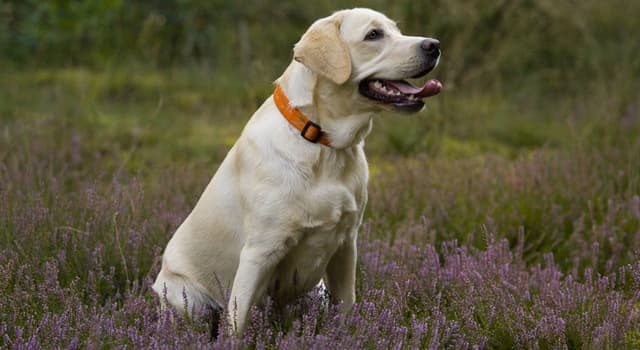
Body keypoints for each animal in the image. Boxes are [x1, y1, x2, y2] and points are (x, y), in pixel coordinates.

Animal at [151, 6, 440, 334]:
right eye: (373, 34)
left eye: (396, 30)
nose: (434, 45)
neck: (324, 144)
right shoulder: (259, 252)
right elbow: (237, 325)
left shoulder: (346, 244)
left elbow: (347, 306)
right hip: (185, 298)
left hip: (317, 291)